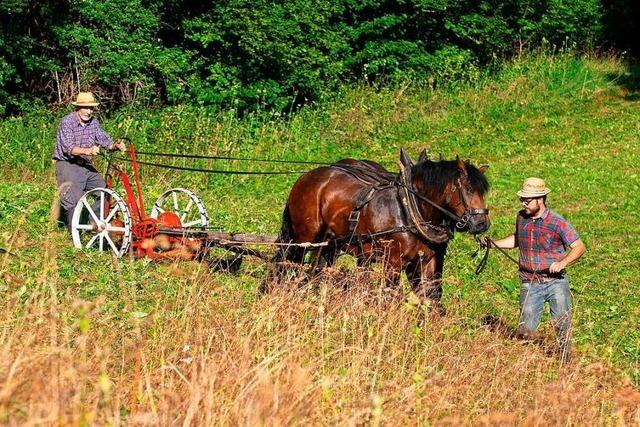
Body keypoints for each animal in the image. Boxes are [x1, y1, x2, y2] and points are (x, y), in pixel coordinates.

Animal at [272, 150, 490, 308]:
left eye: (482, 191)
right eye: (468, 189)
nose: (482, 223)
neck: (409, 209)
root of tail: (305, 177)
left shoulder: (428, 262)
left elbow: (431, 297)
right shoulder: (393, 263)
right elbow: (391, 295)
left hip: (329, 246)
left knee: (317, 272)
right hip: (304, 239)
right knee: (292, 268)